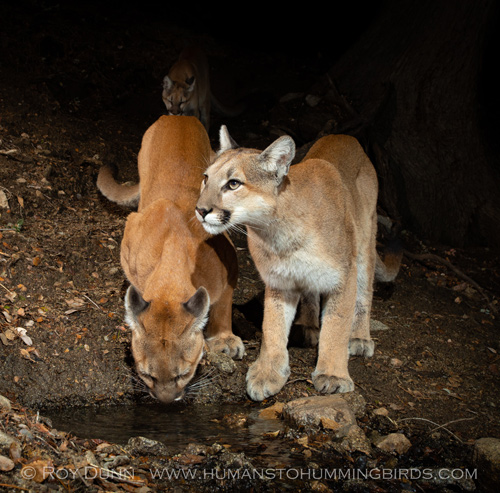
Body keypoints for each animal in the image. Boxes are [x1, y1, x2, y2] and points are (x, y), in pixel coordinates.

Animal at [97, 116, 244, 404]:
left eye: (183, 374)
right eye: (147, 374)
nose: (166, 401)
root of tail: (177, 116)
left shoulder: (229, 259)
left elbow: (222, 305)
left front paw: (224, 339)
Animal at [193, 127, 400, 400]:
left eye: (233, 183)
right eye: (206, 178)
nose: (200, 209)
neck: (278, 232)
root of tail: (345, 136)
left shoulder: (344, 277)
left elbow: (336, 325)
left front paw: (333, 375)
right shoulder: (279, 281)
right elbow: (273, 327)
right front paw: (269, 372)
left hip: (366, 239)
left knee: (365, 291)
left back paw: (359, 338)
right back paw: (308, 325)